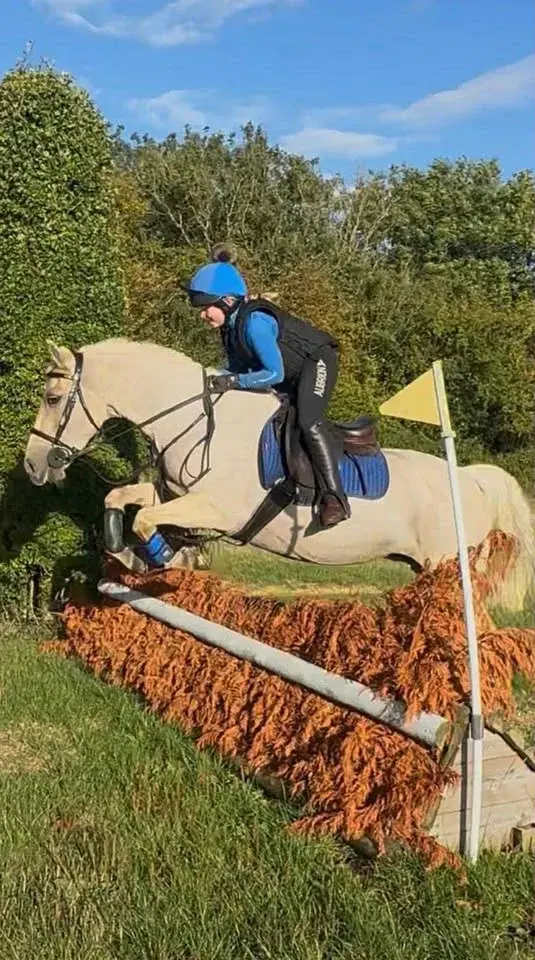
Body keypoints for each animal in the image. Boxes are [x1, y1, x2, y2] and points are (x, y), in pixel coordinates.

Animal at [22, 337, 535, 612]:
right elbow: (124, 500)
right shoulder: (178, 494)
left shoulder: (218, 510)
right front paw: (126, 550)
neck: (194, 418)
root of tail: (469, 479)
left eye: (52, 398)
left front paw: (163, 556)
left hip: (446, 566)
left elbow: (148, 521)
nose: (32, 465)